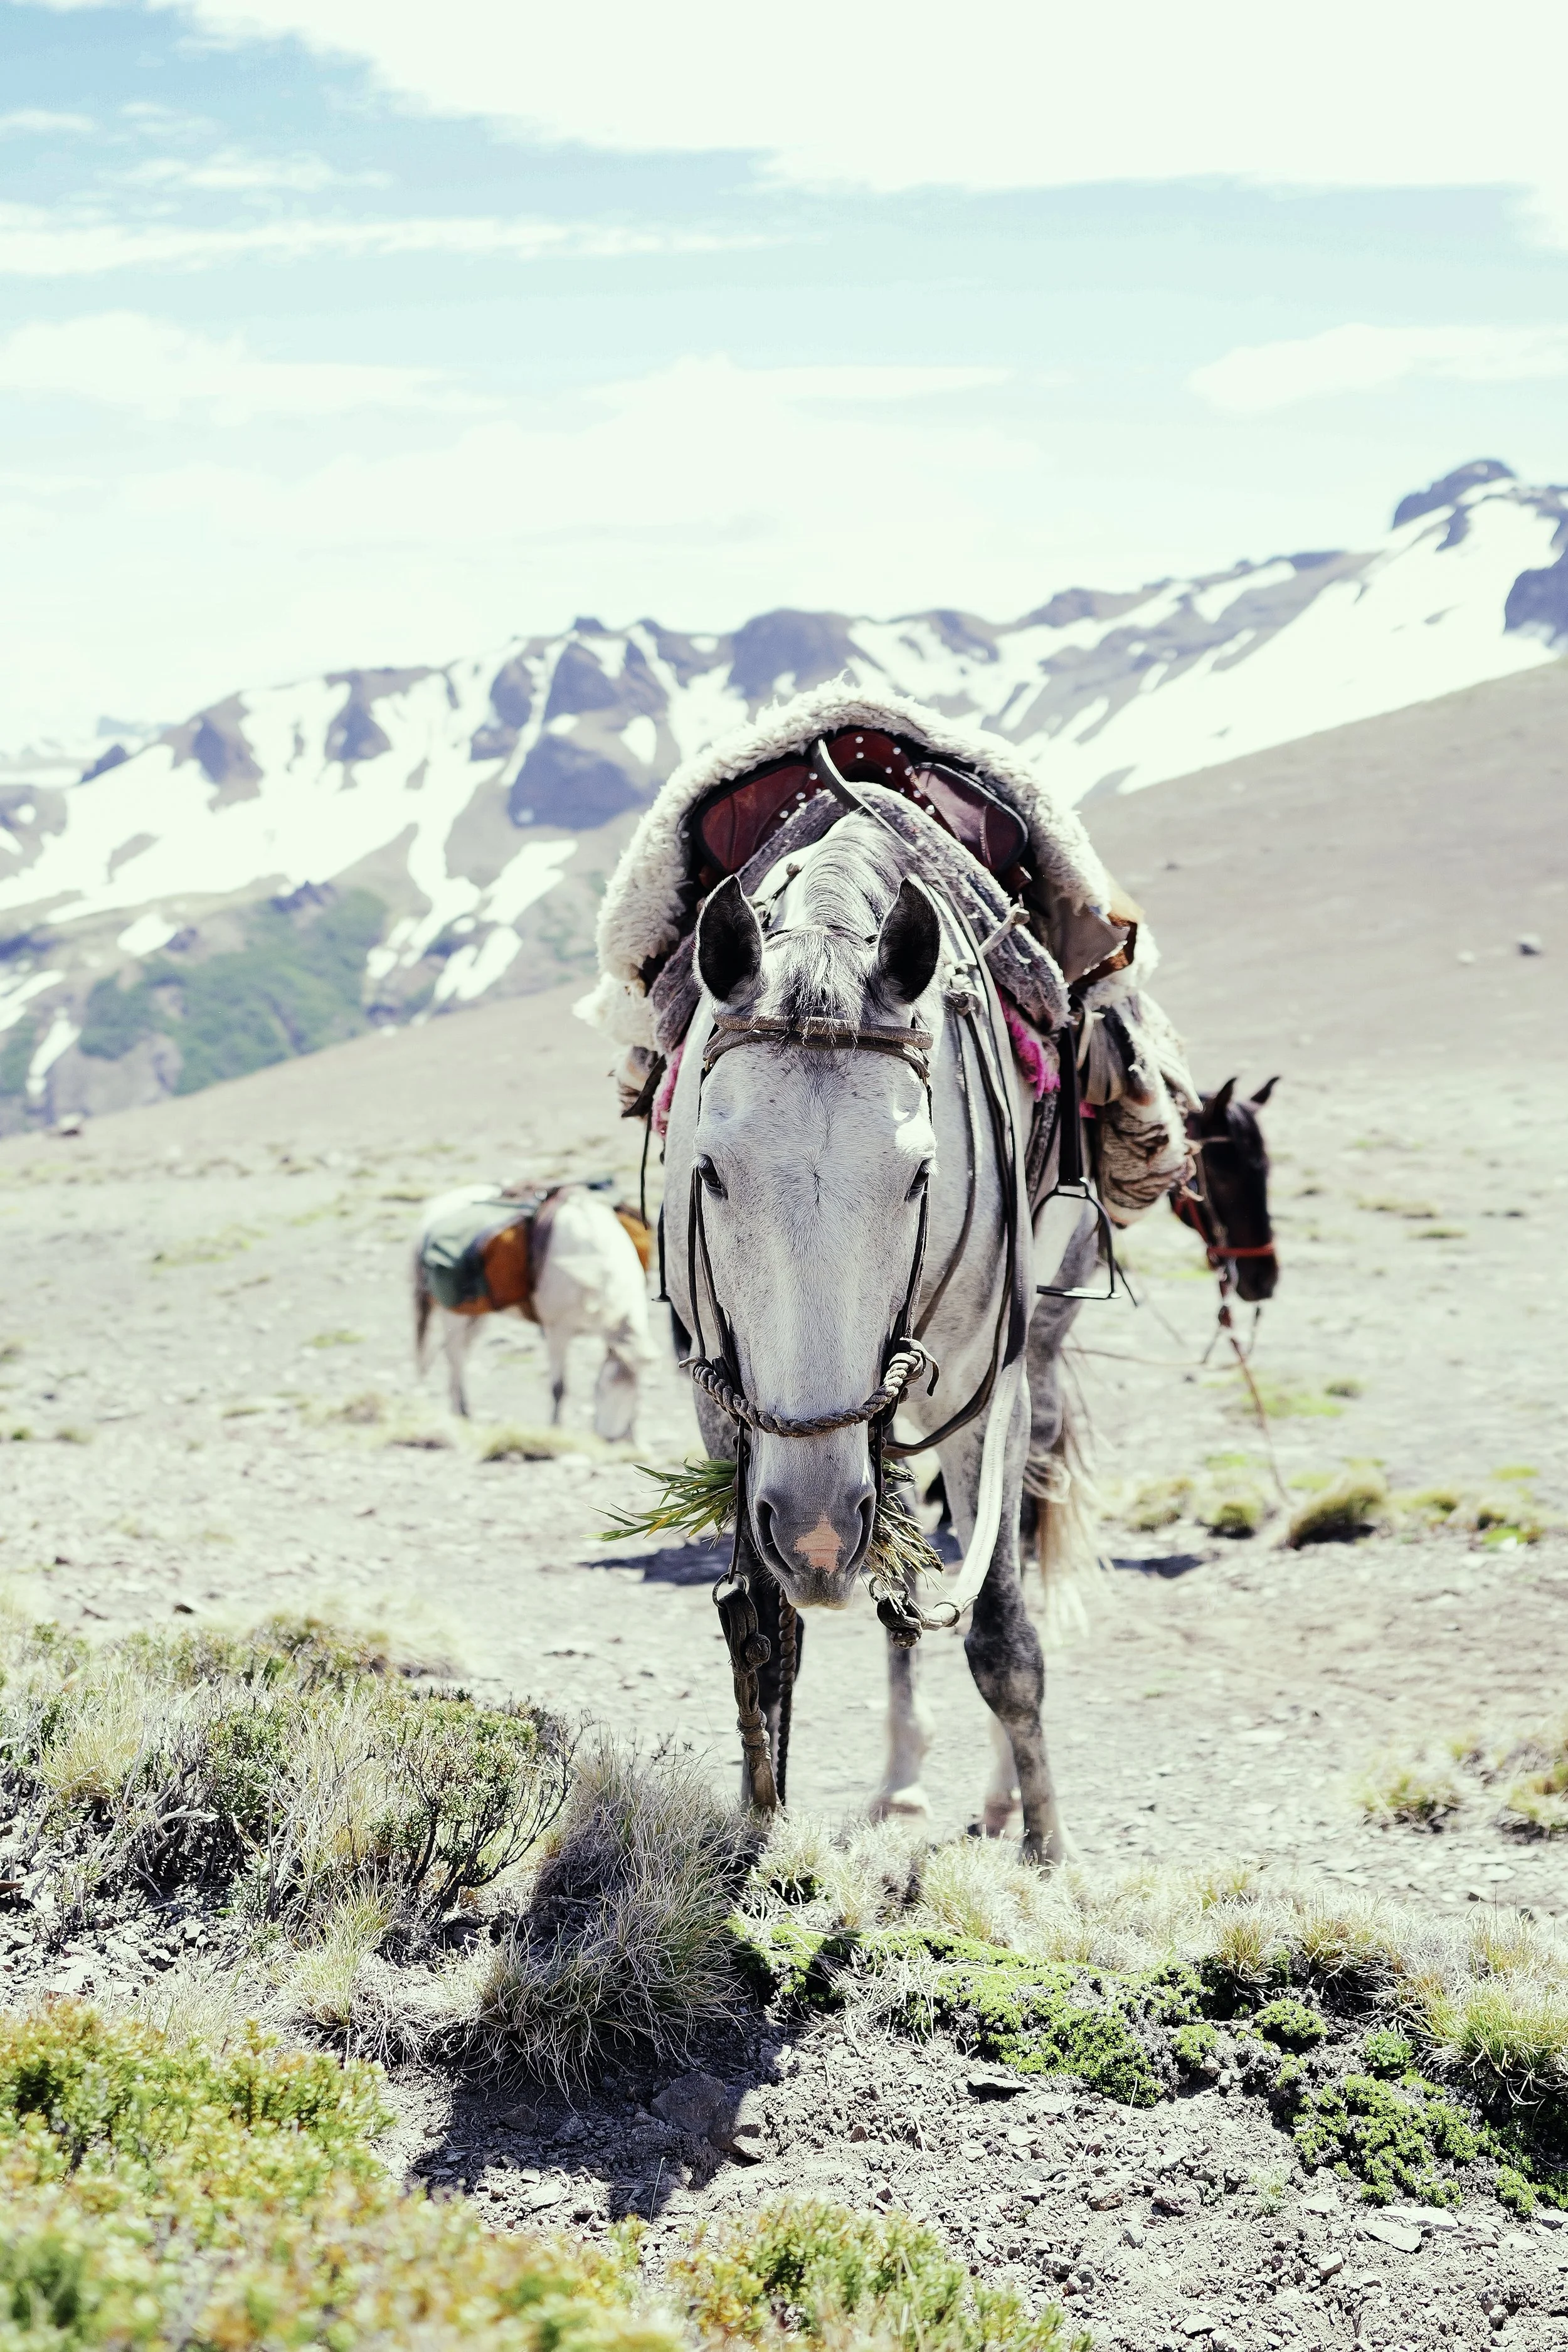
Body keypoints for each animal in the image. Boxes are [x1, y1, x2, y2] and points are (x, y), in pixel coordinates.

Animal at [412, 1183, 656, 1440]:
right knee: (455, 1356)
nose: (610, 1438)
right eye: (602, 1387)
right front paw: (556, 1429)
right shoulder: (557, 1331)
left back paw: (458, 1411)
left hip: (476, 1318)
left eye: (636, 1393)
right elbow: (559, 1387)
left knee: (458, 1355)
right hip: (454, 1316)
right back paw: (461, 1412)